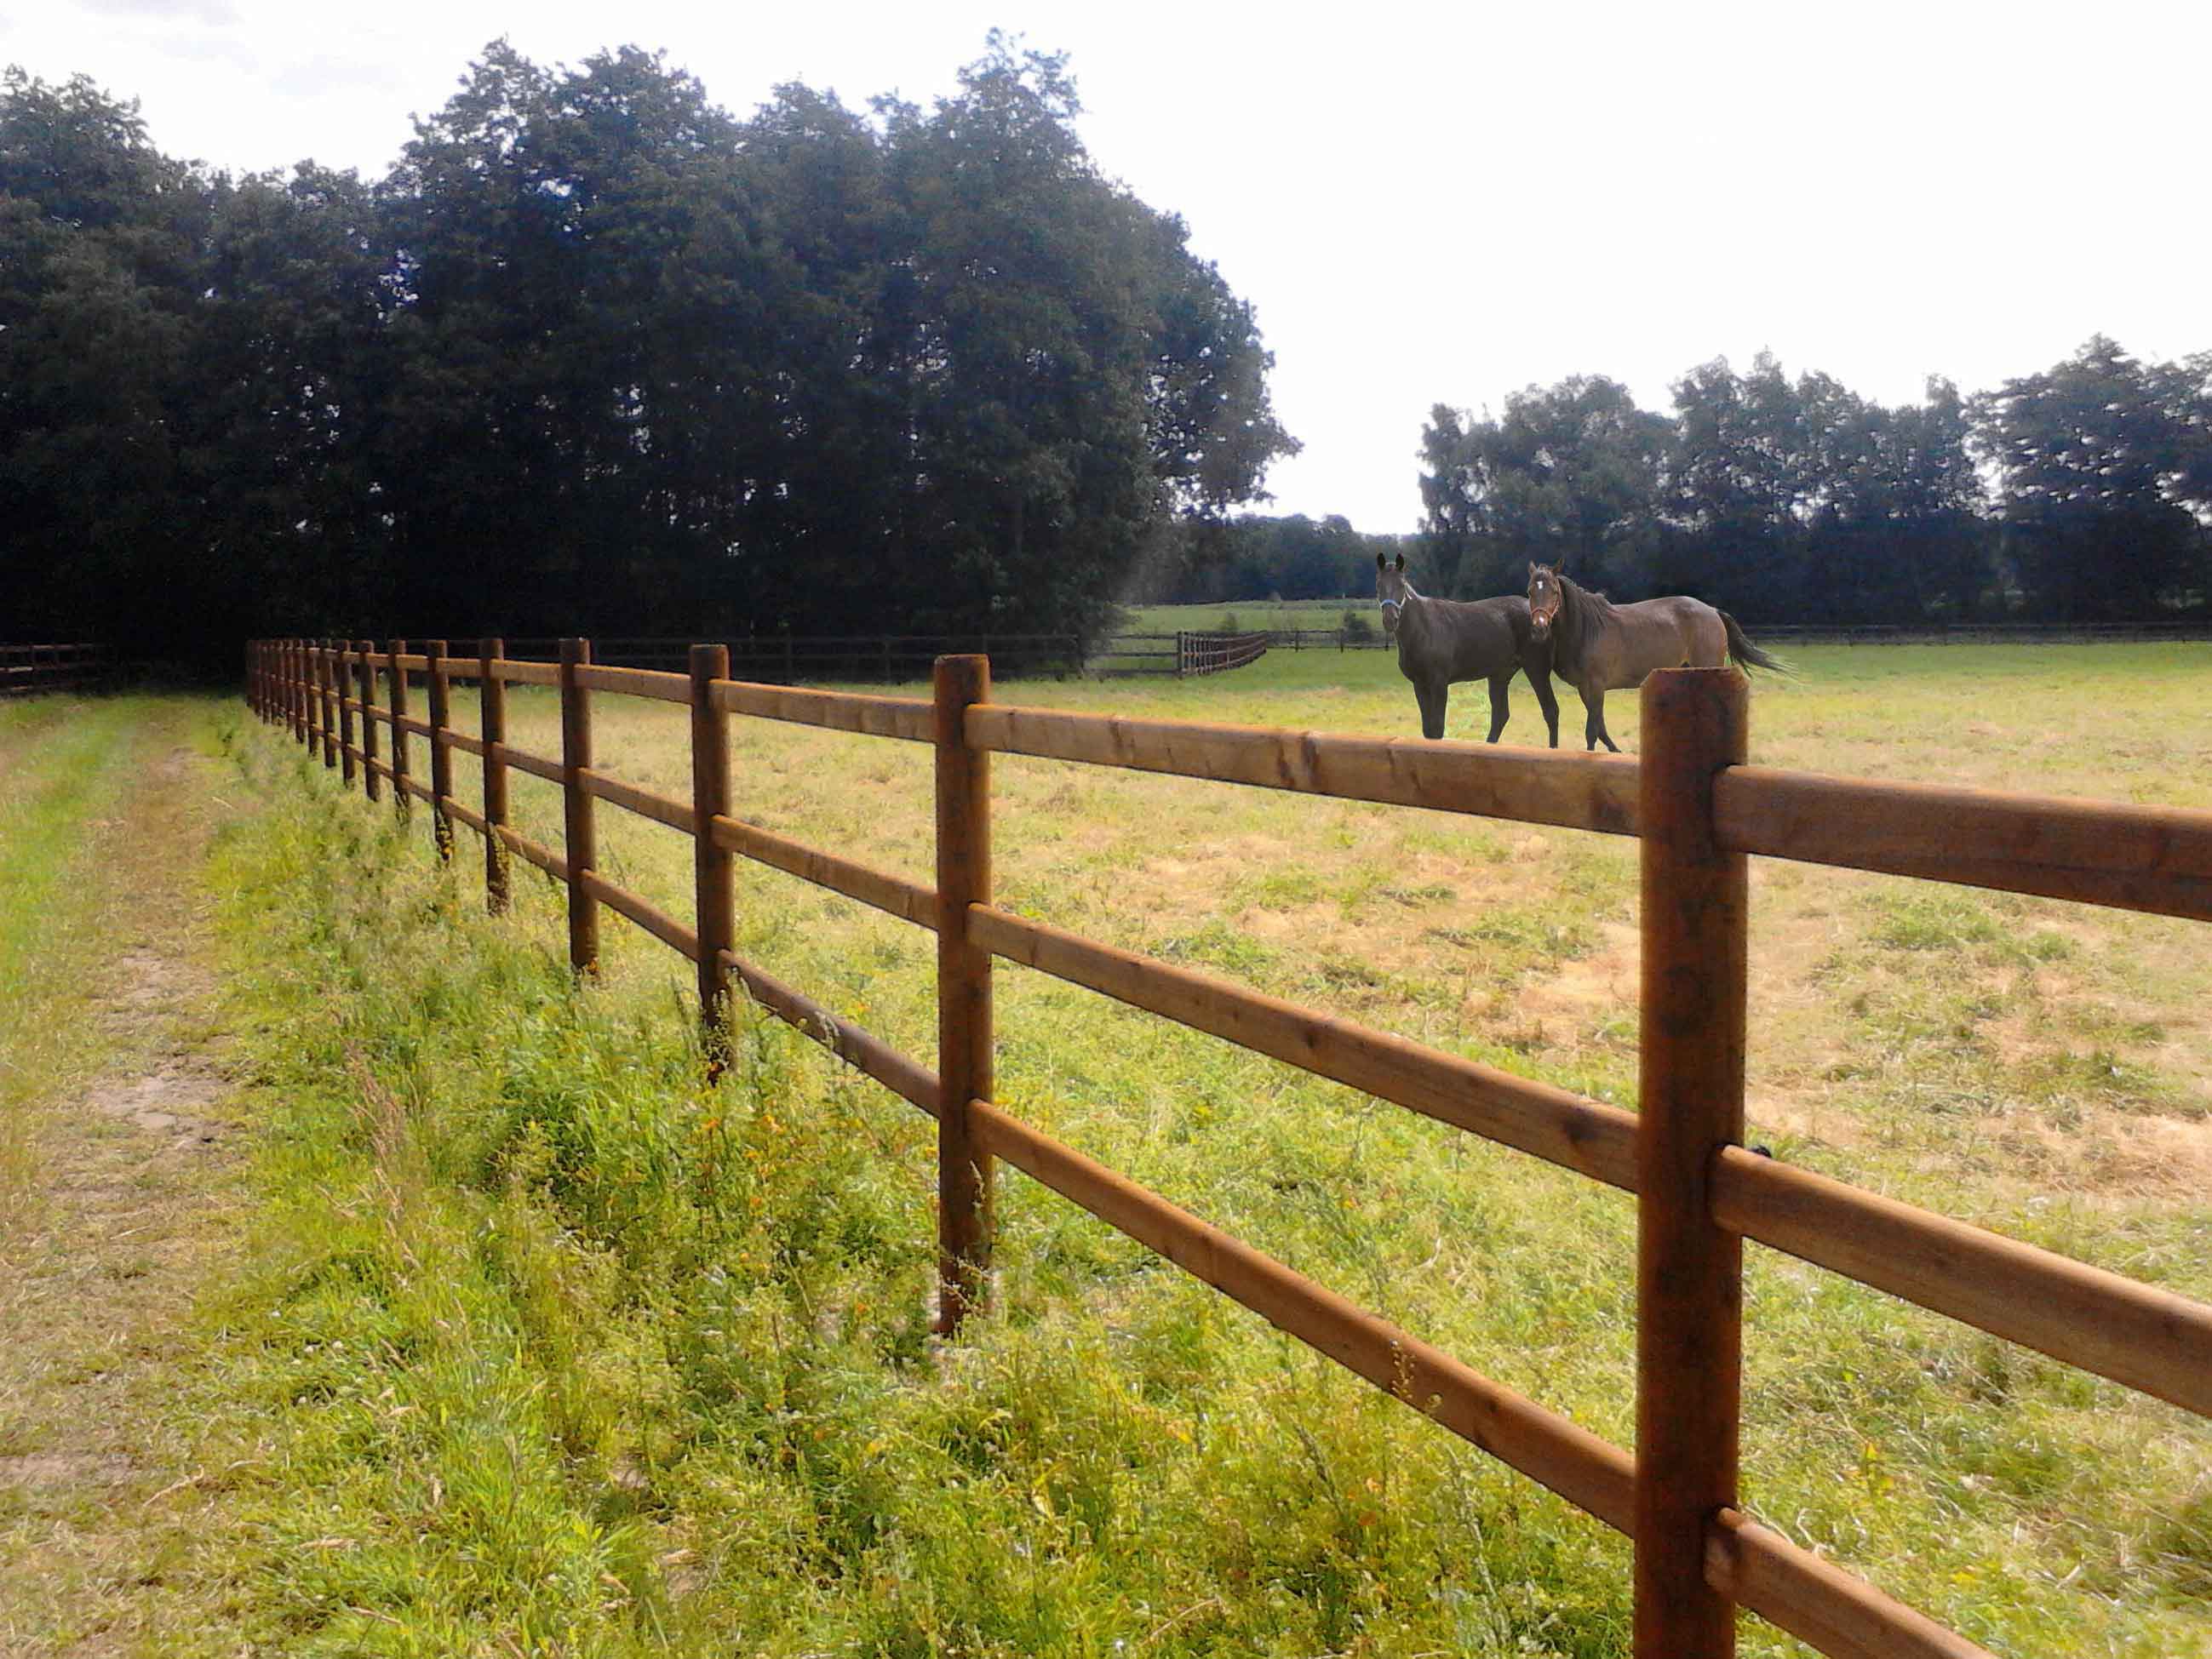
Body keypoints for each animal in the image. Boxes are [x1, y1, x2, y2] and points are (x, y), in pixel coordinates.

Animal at [1377, 553, 1560, 746]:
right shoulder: (1419, 684)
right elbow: (1428, 730)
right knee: (1501, 716)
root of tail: (1543, 618)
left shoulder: (1439, 683)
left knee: (1551, 711)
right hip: (1500, 675)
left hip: (1536, 669)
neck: (1424, 628)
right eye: (1378, 584)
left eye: (1401, 584)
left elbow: (1437, 729)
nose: (1390, 619)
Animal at [1524, 562, 1786, 752]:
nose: (1539, 628)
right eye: (1529, 591)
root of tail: (1713, 611)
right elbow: (1600, 728)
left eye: (1554, 592)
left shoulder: (1595, 686)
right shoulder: (1585, 688)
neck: (1587, 629)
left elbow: (1592, 731)